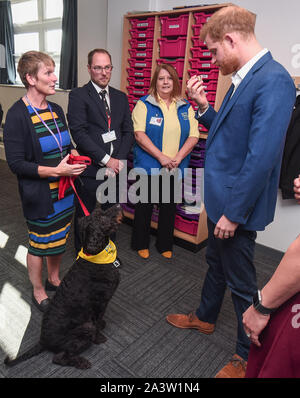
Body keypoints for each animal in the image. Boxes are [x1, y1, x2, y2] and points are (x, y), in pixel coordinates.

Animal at [4, 205, 122, 370]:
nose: (118, 205)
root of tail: (43, 340)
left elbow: (99, 321)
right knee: (60, 357)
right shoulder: (100, 303)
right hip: (85, 328)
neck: (97, 256)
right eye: (102, 217)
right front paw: (99, 338)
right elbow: (97, 324)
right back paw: (82, 362)